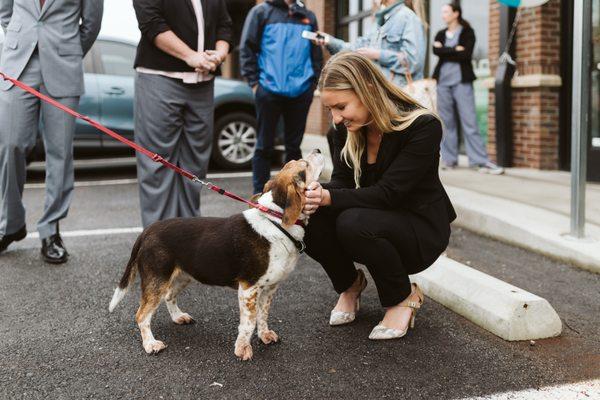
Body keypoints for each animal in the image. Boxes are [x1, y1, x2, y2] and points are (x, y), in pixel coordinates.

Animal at [108, 149, 324, 360]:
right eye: (305, 166)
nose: (318, 149)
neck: (276, 220)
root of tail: (147, 231)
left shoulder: (269, 288)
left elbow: (263, 316)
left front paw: (265, 336)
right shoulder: (248, 289)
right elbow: (249, 323)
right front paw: (242, 349)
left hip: (182, 276)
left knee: (169, 296)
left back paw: (178, 317)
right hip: (157, 280)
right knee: (141, 315)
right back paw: (150, 344)